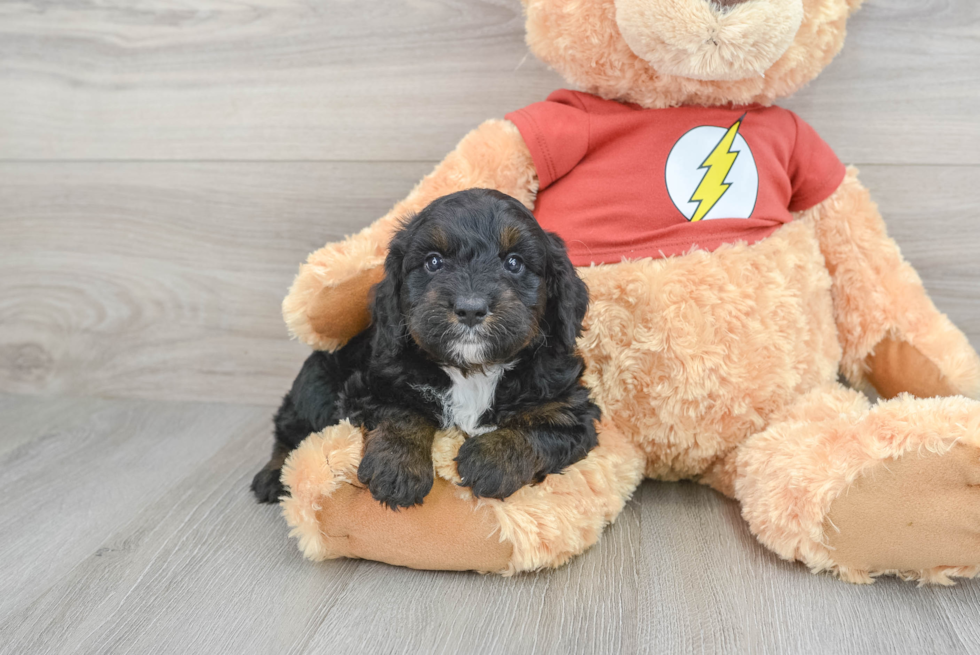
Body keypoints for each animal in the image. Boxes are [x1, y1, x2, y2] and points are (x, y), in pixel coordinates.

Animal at [253, 188, 600, 508]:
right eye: (434, 261)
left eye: (514, 263)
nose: (470, 308)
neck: (472, 371)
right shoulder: (374, 382)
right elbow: (403, 411)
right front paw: (398, 467)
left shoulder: (568, 406)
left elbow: (543, 428)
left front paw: (493, 459)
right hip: (316, 383)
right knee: (293, 430)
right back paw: (273, 475)